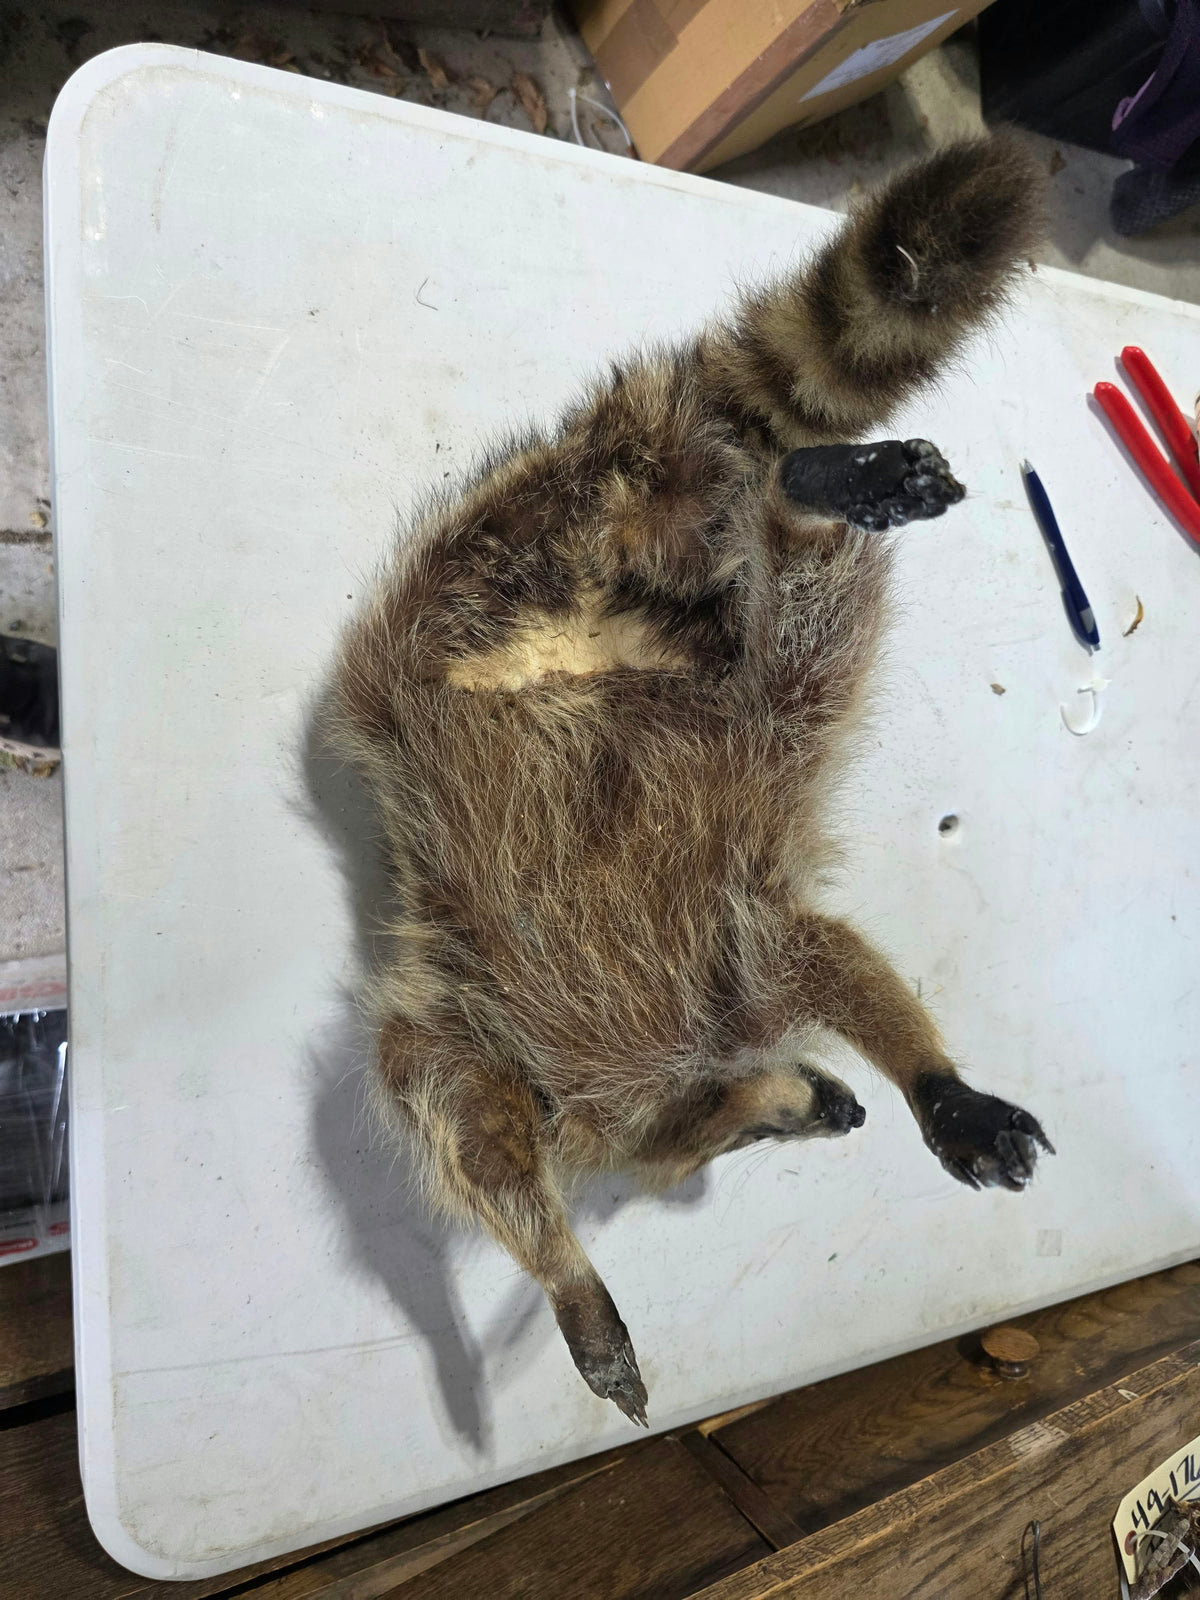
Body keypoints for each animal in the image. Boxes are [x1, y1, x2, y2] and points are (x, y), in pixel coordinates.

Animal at [330, 136, 1053, 1426]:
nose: (819, 1104)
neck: (684, 1072)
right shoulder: (582, 1011)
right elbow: (467, 1126)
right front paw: (569, 1270)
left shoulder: (738, 938)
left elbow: (839, 966)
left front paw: (926, 1074)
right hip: (496, 566)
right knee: (793, 582)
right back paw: (809, 490)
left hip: (595, 598)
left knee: (799, 596)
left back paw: (807, 491)